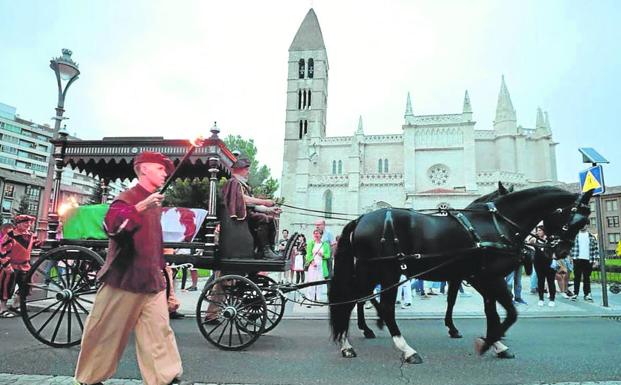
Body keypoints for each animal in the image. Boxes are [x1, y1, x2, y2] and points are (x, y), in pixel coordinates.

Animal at [326, 184, 588, 362]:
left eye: (583, 223)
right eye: (576, 220)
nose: (562, 251)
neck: (495, 224)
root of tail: (361, 219)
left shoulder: (476, 278)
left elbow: (490, 311)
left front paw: (495, 342)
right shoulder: (487, 278)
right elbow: (510, 313)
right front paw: (488, 342)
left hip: (371, 272)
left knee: (355, 300)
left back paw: (351, 341)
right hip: (386, 272)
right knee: (374, 305)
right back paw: (403, 348)